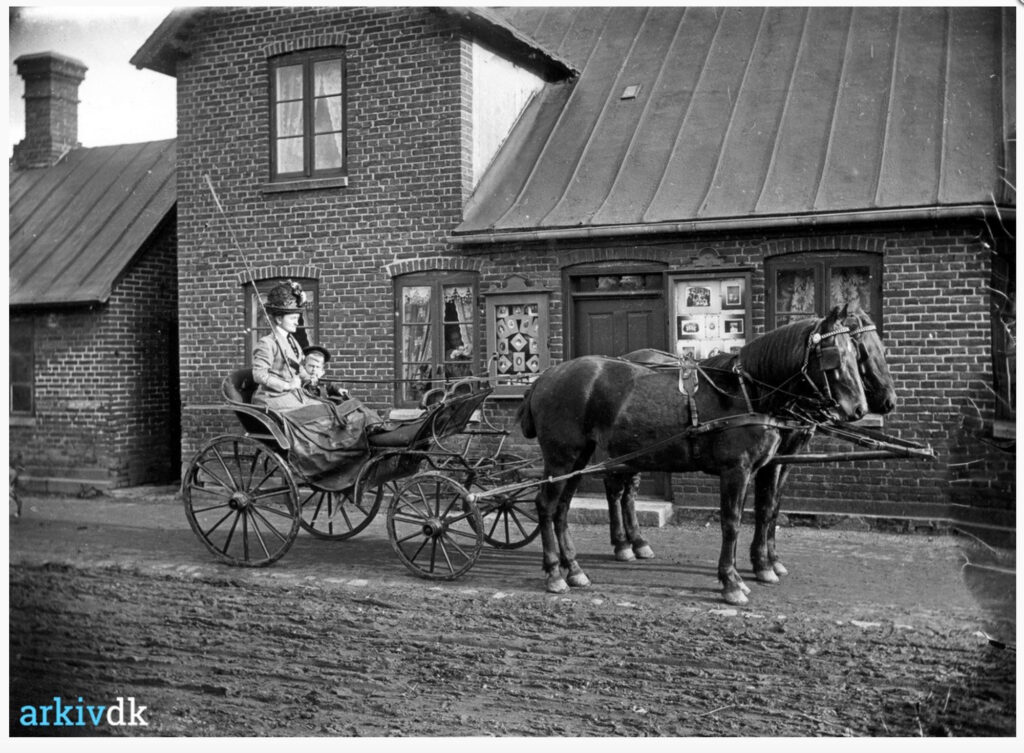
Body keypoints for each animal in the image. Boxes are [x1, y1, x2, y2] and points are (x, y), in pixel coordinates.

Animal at [520, 303, 864, 602]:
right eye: (833, 355)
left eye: (855, 352)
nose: (859, 408)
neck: (745, 392)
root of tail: (545, 377)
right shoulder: (736, 470)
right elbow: (732, 522)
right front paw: (731, 581)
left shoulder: (763, 467)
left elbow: (764, 511)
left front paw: (758, 568)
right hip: (563, 458)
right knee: (547, 506)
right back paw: (555, 572)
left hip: (578, 460)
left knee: (563, 508)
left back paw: (575, 568)